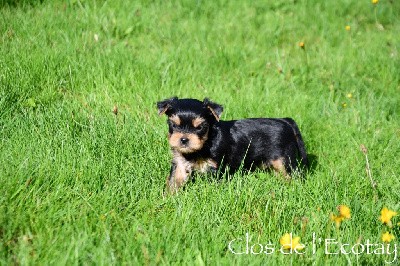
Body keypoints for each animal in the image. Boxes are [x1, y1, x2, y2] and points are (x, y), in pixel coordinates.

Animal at [158, 96, 308, 192]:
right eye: (173, 125)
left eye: (200, 127)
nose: (184, 140)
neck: (205, 144)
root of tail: (285, 121)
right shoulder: (180, 164)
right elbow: (173, 181)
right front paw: (168, 198)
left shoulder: (214, 168)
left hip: (284, 161)